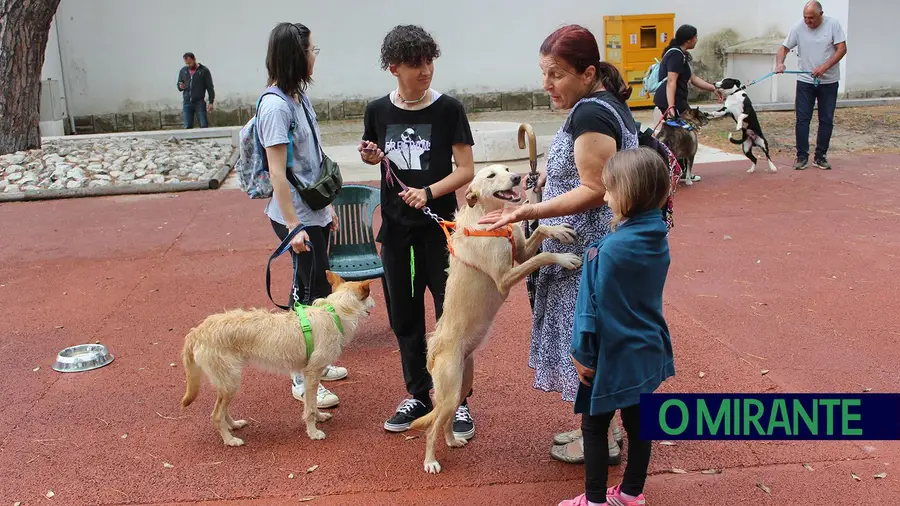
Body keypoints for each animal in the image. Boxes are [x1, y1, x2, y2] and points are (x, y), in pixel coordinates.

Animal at [179, 270, 376, 444]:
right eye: (369, 295)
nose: (374, 304)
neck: (333, 311)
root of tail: (198, 331)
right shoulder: (312, 373)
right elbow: (309, 409)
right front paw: (313, 432)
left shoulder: (310, 375)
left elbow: (311, 404)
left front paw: (319, 418)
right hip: (231, 382)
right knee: (216, 415)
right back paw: (230, 440)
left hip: (228, 383)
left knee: (222, 410)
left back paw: (233, 425)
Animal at [408, 164, 584, 472]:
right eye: (490, 176)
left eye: (506, 169)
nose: (518, 178)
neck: (488, 220)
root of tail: (433, 350)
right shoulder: (504, 279)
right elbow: (543, 256)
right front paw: (564, 259)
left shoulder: (521, 252)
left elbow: (539, 230)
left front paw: (559, 230)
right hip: (449, 390)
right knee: (432, 427)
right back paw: (430, 461)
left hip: (462, 385)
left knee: (446, 420)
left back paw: (452, 440)